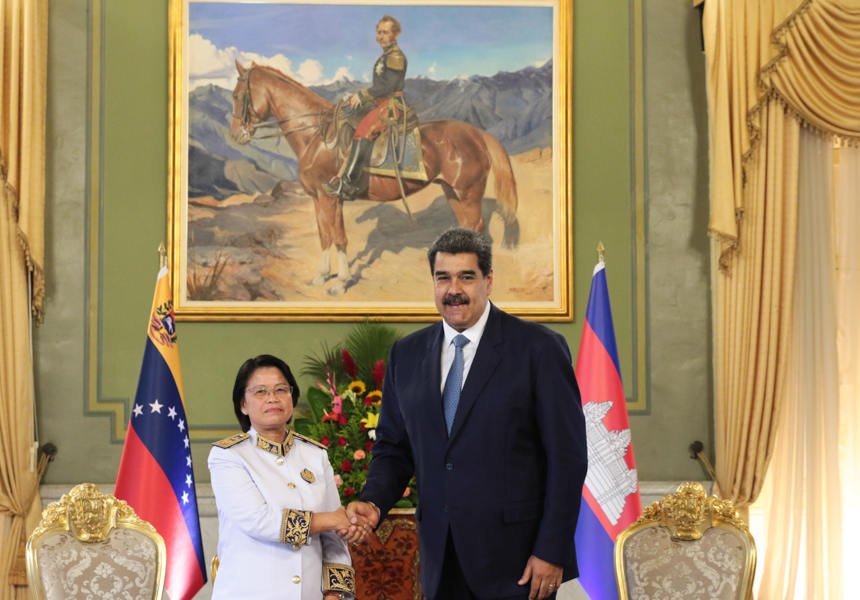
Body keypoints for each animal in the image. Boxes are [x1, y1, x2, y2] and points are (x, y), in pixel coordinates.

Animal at [228, 61, 516, 296]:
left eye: (238, 95)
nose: (234, 136)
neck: (317, 136)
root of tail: (477, 133)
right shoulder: (318, 198)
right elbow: (324, 236)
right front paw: (321, 276)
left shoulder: (330, 198)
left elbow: (338, 237)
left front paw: (340, 282)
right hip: (452, 192)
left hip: (468, 193)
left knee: (476, 227)